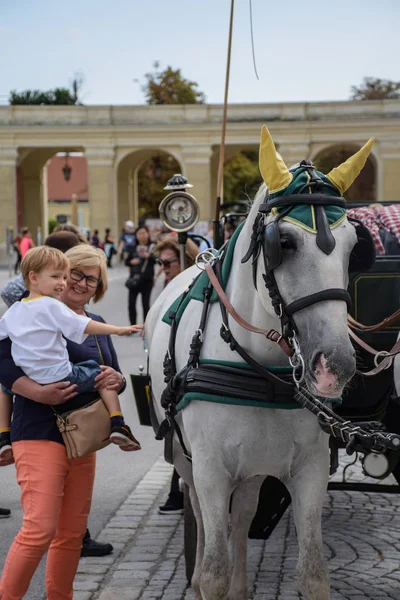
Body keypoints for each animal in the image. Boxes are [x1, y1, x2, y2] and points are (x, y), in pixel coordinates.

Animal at [146, 124, 376, 596]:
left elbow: (313, 572)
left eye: (353, 246)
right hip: (183, 454)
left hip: (253, 463)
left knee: (244, 513)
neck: (263, 370)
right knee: (198, 508)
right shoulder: (211, 470)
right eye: (282, 243)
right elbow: (213, 569)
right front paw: (207, 579)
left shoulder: (309, 470)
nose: (335, 365)